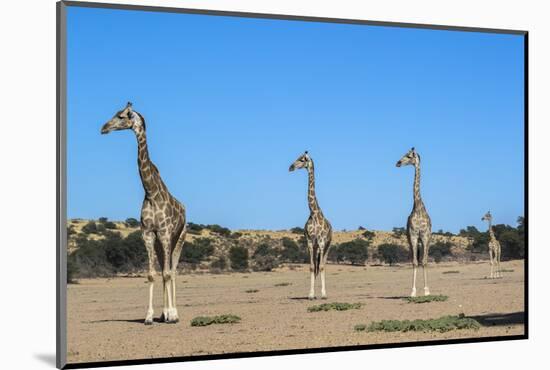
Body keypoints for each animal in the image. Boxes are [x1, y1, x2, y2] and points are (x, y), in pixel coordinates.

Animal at [99, 102, 185, 324]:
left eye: (121, 116)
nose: (103, 128)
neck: (151, 192)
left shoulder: (165, 233)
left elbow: (167, 273)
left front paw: (171, 315)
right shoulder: (147, 233)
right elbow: (152, 274)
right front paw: (150, 316)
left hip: (178, 238)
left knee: (173, 270)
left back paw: (174, 313)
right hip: (160, 242)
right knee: (165, 269)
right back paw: (164, 314)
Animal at [292, 152, 334, 300]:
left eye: (302, 159)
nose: (290, 167)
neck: (314, 212)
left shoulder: (321, 242)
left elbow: (321, 267)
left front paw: (323, 294)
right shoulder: (310, 241)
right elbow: (311, 267)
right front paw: (310, 294)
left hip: (327, 246)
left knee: (323, 265)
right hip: (316, 247)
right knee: (316, 266)